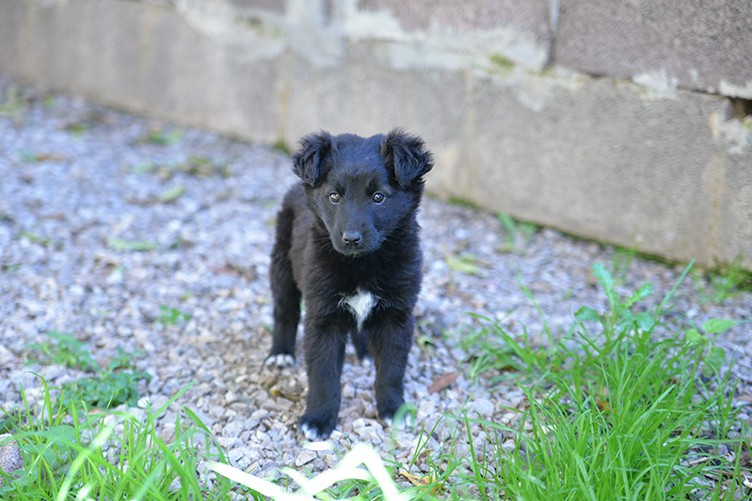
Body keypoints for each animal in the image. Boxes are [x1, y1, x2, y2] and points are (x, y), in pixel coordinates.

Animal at [268, 128, 434, 438]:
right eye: (334, 196)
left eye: (379, 197)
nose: (351, 238)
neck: (363, 264)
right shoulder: (322, 317)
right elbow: (324, 374)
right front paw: (318, 419)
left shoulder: (397, 315)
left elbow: (392, 370)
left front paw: (394, 409)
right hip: (282, 267)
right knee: (284, 312)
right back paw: (281, 353)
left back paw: (366, 352)